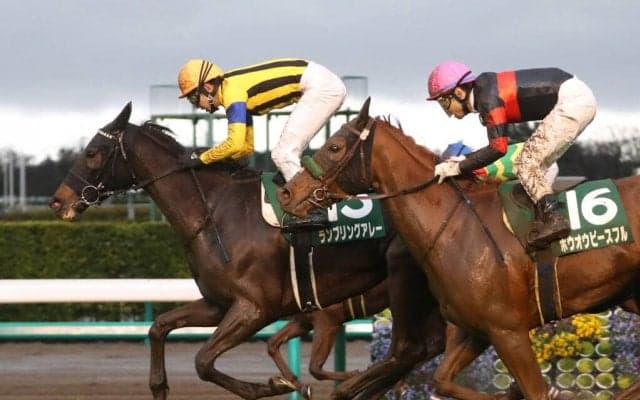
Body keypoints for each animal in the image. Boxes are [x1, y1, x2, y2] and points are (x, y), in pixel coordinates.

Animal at [48, 102, 446, 400]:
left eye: (92, 152)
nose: (57, 201)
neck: (213, 211)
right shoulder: (219, 303)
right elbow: (159, 328)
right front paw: (159, 385)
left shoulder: (255, 308)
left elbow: (203, 361)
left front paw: (277, 384)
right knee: (425, 349)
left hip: (406, 281)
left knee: (410, 350)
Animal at [277, 98, 640, 400]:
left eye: (335, 146)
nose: (287, 193)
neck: (456, 226)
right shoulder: (477, 330)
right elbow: (442, 380)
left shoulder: (508, 331)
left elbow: (534, 393)